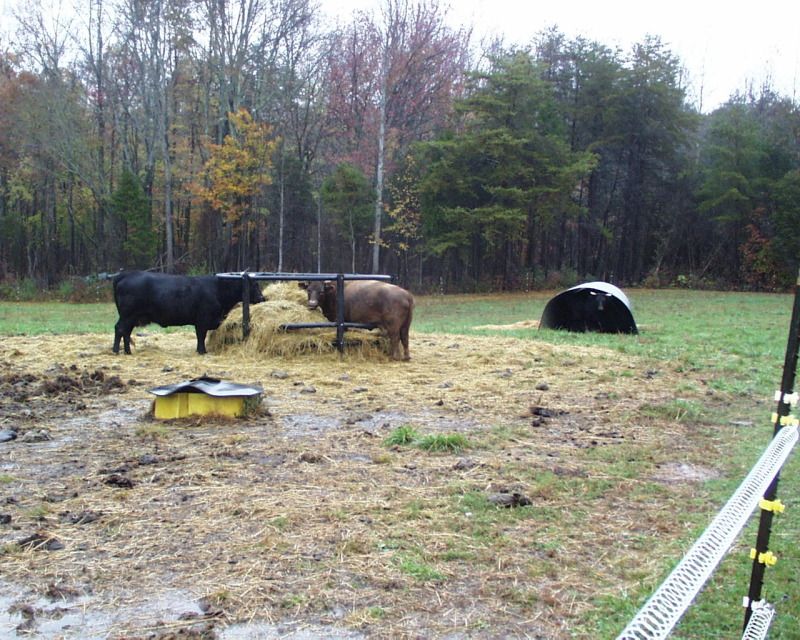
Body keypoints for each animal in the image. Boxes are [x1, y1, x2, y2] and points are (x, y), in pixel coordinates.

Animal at [112, 271, 265, 355]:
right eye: (254, 284)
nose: (262, 298)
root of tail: (126, 274)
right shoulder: (203, 319)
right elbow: (201, 336)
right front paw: (202, 351)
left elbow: (199, 336)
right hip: (128, 315)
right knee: (120, 329)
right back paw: (116, 351)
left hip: (131, 317)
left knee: (126, 332)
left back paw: (128, 351)